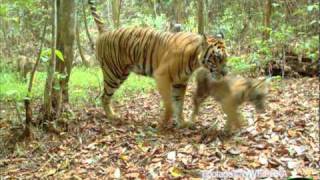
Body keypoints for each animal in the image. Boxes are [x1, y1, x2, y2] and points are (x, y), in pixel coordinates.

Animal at [87, 0, 228, 129]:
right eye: (217, 57)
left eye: (226, 58)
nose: (225, 73)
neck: (194, 60)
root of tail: (105, 31)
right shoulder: (162, 76)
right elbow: (169, 104)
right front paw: (163, 124)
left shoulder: (180, 82)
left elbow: (179, 103)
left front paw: (182, 123)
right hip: (114, 75)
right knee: (104, 96)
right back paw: (112, 116)